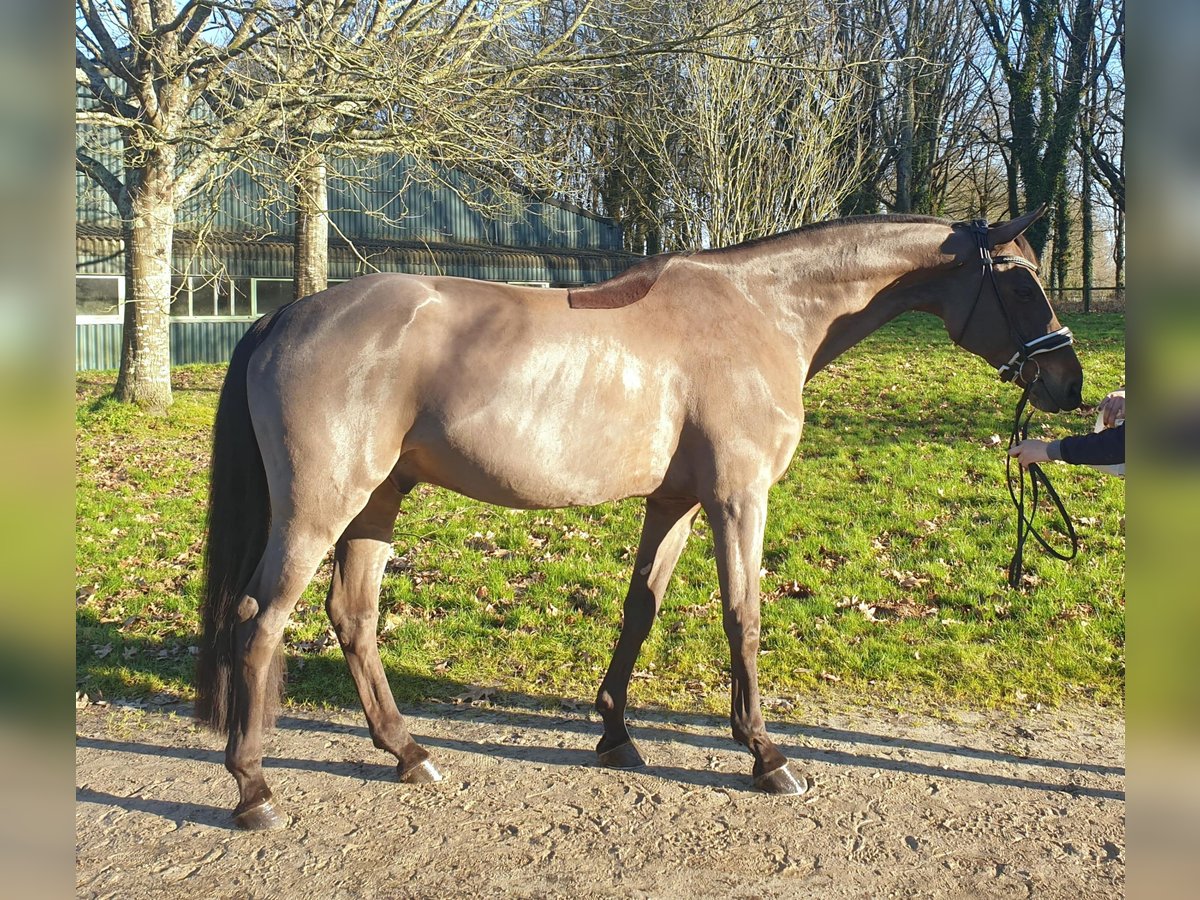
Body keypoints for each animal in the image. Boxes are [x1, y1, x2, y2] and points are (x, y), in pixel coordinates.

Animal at [194, 206, 1080, 830]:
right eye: (1020, 284)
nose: (1068, 382)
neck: (763, 312)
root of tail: (284, 316)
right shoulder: (738, 497)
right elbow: (742, 615)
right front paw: (765, 754)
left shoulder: (675, 502)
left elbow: (639, 609)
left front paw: (616, 734)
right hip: (321, 507)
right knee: (260, 618)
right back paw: (254, 788)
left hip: (378, 500)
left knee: (353, 616)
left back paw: (407, 752)